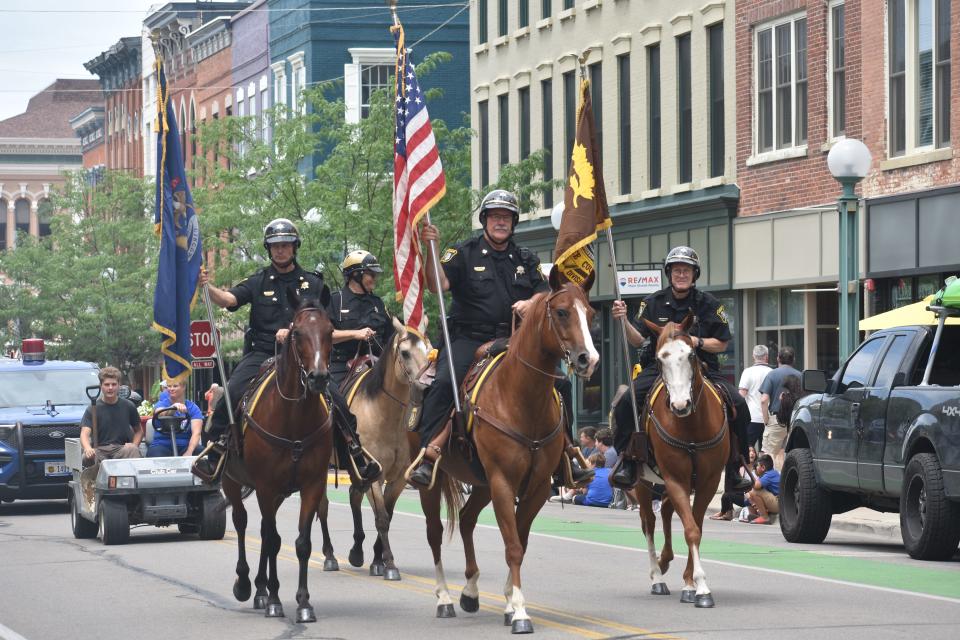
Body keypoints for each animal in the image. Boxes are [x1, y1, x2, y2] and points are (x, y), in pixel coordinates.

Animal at [222, 284, 338, 620]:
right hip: (232, 482)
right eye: (297, 332)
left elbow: (301, 543)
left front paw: (303, 602)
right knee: (242, 522)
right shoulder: (265, 485)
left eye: (330, 330)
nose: (318, 377)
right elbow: (273, 540)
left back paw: (260, 589)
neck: (294, 417)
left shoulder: (311, 485)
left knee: (262, 528)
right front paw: (275, 598)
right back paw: (247, 585)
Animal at [316, 320, 434, 580]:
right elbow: (381, 518)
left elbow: (387, 514)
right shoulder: (376, 475)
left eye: (430, 349)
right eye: (405, 352)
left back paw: (356, 550)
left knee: (353, 495)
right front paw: (389, 564)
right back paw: (329, 556)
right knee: (323, 507)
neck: (386, 414)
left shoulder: (399, 478)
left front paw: (377, 560)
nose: (427, 385)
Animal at [422, 276, 600, 636]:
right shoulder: (504, 482)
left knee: (466, 520)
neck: (522, 397)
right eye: (562, 312)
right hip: (434, 483)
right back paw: (444, 598)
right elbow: (514, 546)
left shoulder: (537, 487)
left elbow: (519, 540)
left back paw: (470, 591)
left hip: (481, 484)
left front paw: (508, 602)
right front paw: (519, 612)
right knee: (434, 533)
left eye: (590, 313)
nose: (588, 359)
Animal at [632, 312, 732, 608]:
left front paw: (690, 583)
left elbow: (695, 525)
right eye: (659, 359)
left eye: (690, 355)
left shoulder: (708, 481)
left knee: (665, 511)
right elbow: (690, 529)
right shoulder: (675, 478)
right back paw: (657, 576)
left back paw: (665, 561)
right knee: (649, 522)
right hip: (643, 482)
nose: (680, 405)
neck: (691, 426)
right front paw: (701, 587)